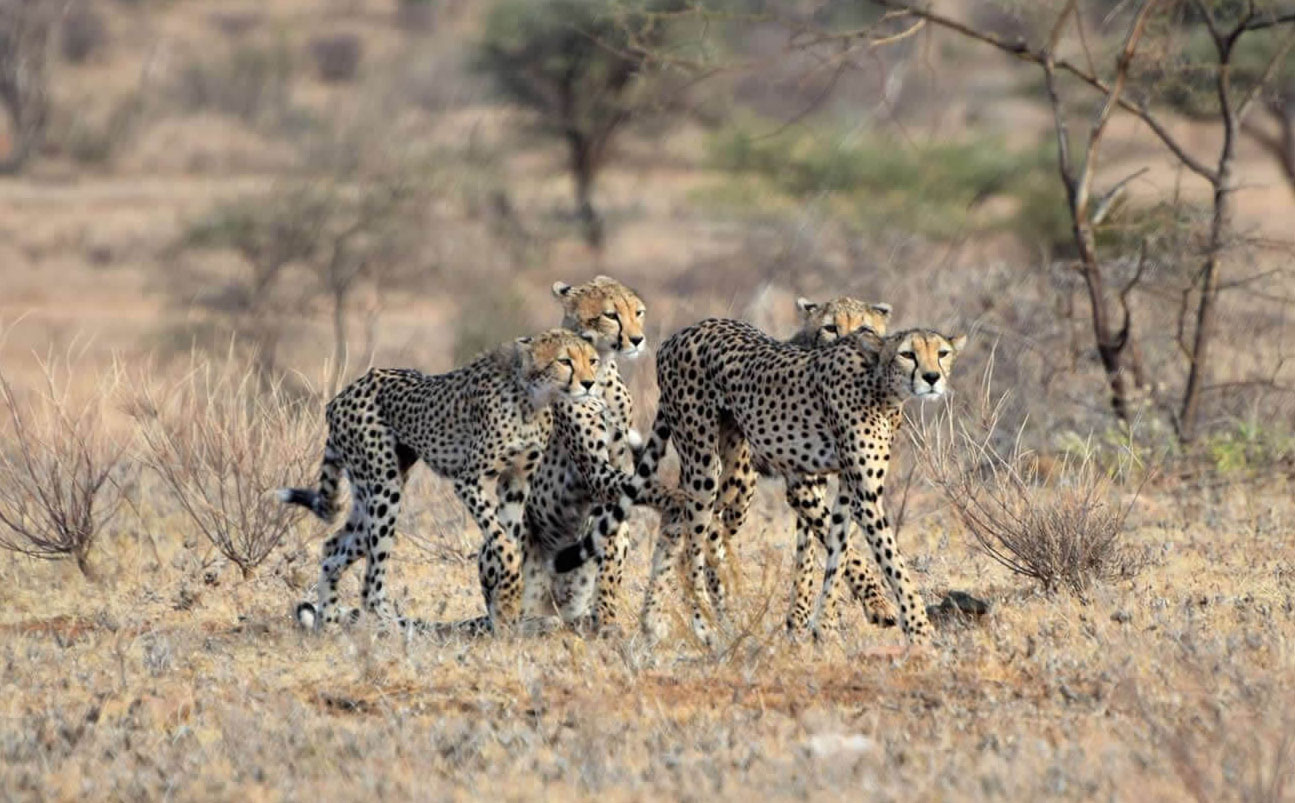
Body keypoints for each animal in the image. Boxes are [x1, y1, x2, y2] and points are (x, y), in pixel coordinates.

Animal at [278, 326, 600, 634]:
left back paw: (327, 623)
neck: (532, 398)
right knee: (370, 584)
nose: (589, 383)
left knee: (333, 550)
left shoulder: (515, 483)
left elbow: (507, 537)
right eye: (565, 361)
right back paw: (391, 627)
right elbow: (504, 543)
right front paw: (507, 597)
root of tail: (341, 396)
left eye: (592, 361)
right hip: (385, 489)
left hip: (369, 491)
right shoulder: (468, 480)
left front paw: (505, 608)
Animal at [621, 318, 968, 644]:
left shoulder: (849, 491)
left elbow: (838, 552)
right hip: (704, 466)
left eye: (942, 353)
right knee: (691, 544)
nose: (932, 378)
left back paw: (660, 621)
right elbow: (892, 561)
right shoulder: (863, 496)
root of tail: (678, 335)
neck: (880, 385)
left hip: (731, 473)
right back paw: (704, 626)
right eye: (907, 354)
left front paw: (825, 629)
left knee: (681, 521)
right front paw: (920, 629)